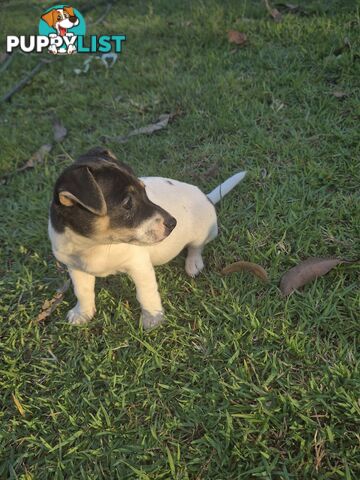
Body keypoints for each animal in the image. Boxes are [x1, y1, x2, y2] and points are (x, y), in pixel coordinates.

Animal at [49, 148, 246, 328]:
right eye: (127, 203)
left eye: (145, 190)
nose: (173, 222)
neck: (96, 245)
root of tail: (207, 197)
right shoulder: (76, 269)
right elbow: (83, 292)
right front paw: (83, 313)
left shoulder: (139, 266)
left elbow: (146, 294)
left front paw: (153, 318)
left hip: (203, 231)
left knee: (196, 247)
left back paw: (193, 263)